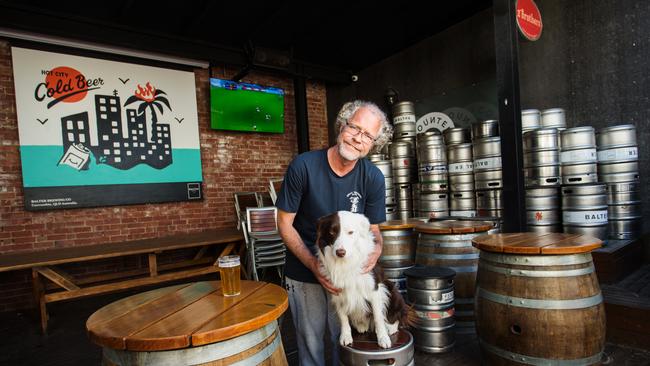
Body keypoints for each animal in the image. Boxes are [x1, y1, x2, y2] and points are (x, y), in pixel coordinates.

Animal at [314, 210, 404, 348]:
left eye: (350, 232)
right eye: (332, 232)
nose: (340, 252)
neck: (345, 262)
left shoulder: (374, 289)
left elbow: (378, 316)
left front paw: (383, 338)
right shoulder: (337, 293)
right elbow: (343, 317)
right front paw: (345, 336)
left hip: (391, 290)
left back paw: (391, 328)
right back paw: (362, 326)